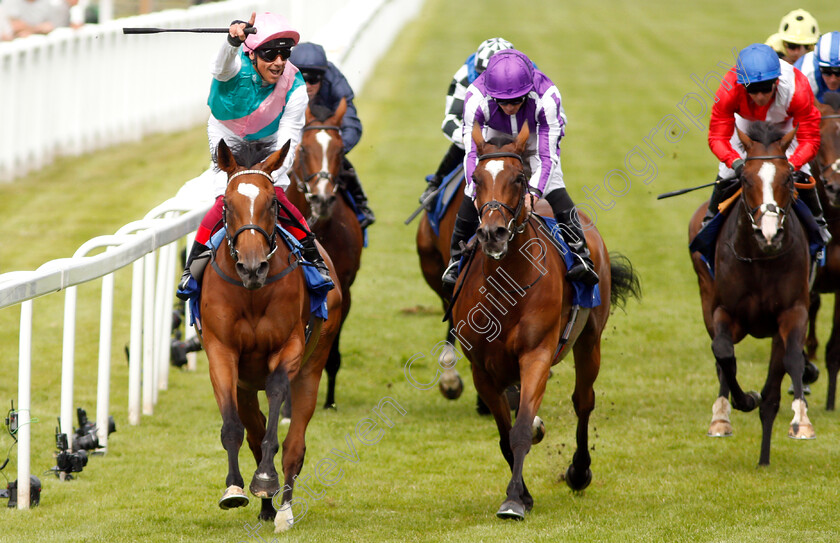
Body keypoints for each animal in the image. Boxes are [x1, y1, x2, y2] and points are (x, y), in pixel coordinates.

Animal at [199, 139, 340, 532]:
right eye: (227, 205)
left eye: (273, 203)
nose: (252, 267)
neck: (252, 294)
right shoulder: (221, 352)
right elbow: (234, 428)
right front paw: (234, 488)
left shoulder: (288, 348)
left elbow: (277, 409)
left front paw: (265, 480)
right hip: (246, 385)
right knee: (253, 431)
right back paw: (265, 507)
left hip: (312, 366)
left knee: (294, 444)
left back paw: (283, 510)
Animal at [456, 125, 640, 520]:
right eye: (476, 179)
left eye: (518, 177)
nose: (492, 233)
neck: (506, 287)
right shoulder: (482, 370)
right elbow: (505, 433)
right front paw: (522, 494)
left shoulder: (536, 354)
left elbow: (522, 429)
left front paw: (513, 500)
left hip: (589, 340)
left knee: (583, 400)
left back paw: (579, 471)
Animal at [688, 121, 812, 466]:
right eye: (745, 179)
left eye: (788, 177)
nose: (769, 233)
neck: (760, 257)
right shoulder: (724, 312)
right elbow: (723, 354)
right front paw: (737, 405)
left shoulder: (793, 311)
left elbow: (792, 359)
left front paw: (802, 421)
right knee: (723, 360)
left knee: (775, 386)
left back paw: (764, 457)